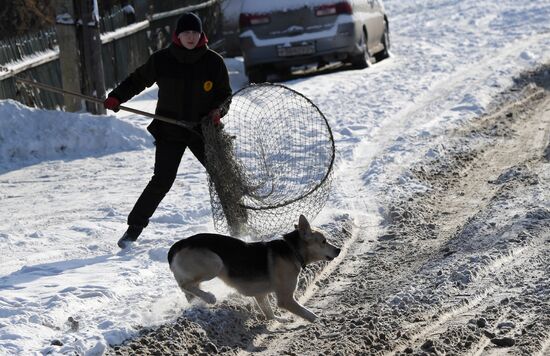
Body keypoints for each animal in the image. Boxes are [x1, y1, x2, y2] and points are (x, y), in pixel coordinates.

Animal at [168, 214, 340, 322]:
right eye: (324, 241)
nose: (338, 249)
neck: (293, 250)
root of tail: (179, 244)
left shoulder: (261, 295)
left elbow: (269, 313)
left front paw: (279, 319)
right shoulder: (286, 299)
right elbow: (307, 313)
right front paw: (321, 320)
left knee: (189, 288)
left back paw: (198, 302)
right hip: (215, 263)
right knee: (184, 284)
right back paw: (209, 297)